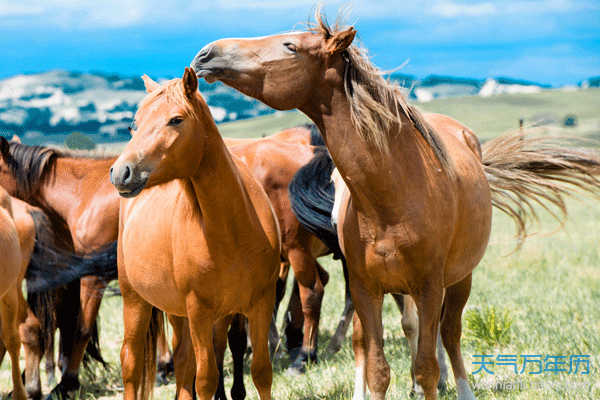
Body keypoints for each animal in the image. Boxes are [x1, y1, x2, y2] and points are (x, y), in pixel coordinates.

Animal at [109, 68, 282, 400]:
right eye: (134, 123)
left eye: (176, 120)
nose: (121, 172)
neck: (232, 231)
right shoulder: (200, 312)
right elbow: (206, 380)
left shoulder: (260, 304)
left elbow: (261, 372)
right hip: (134, 300)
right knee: (132, 364)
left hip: (178, 312)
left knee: (182, 362)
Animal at [190, 9, 600, 400]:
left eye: (290, 46)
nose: (205, 53)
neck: (393, 194)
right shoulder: (367, 289)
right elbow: (377, 367)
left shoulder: (429, 288)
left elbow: (427, 367)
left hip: (459, 279)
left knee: (450, 334)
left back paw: (462, 388)